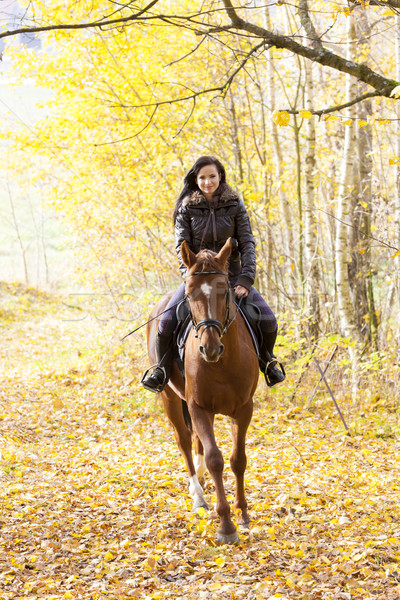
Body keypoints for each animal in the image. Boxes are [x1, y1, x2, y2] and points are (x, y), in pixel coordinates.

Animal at [147, 239, 260, 544]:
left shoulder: (243, 409)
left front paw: (243, 514)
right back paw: (198, 496)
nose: (209, 348)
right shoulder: (198, 408)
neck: (222, 363)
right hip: (170, 398)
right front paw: (226, 526)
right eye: (189, 294)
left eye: (225, 291)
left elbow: (237, 460)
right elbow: (215, 459)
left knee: (196, 442)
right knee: (185, 441)